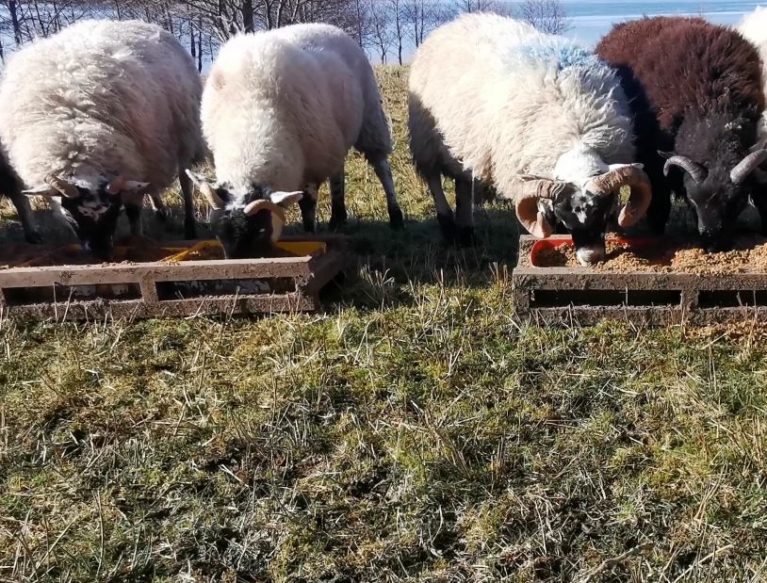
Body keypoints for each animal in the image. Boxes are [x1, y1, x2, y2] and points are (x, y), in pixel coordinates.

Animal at [0, 18, 204, 260]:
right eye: (71, 215)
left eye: (114, 211)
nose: (101, 252)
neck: (77, 133)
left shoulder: (137, 162)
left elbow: (134, 211)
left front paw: (138, 241)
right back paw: (160, 211)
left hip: (183, 135)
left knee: (185, 183)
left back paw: (189, 226)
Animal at [412, 13, 652, 264]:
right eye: (563, 214)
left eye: (603, 210)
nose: (591, 256)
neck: (574, 137)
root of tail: (456, 21)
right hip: (425, 139)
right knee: (433, 179)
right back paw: (448, 227)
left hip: (465, 147)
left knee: (463, 184)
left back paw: (467, 232)